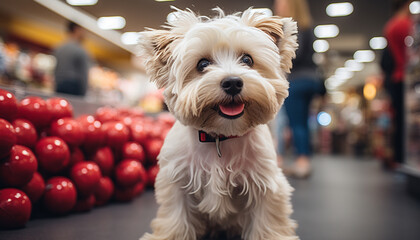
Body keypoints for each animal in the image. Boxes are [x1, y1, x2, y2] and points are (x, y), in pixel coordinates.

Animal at [139, 7, 300, 240]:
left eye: (247, 60)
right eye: (203, 64)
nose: (232, 82)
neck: (220, 137)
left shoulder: (266, 184)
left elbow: (267, 222)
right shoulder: (177, 180)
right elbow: (176, 218)